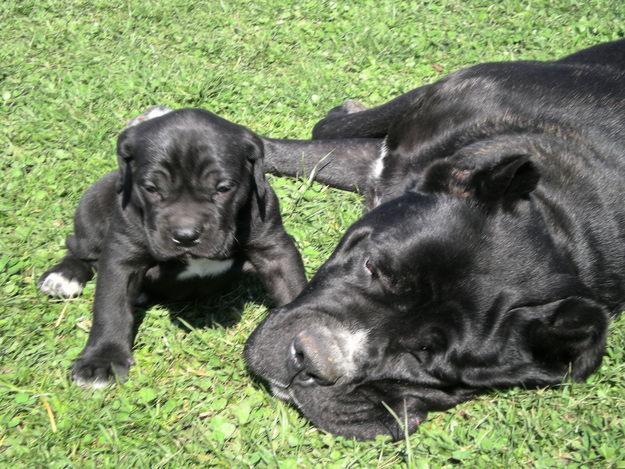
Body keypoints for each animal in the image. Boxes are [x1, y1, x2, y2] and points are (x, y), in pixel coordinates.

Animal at [37, 107, 306, 388]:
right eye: (151, 189)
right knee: (79, 248)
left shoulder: (274, 249)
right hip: (92, 205)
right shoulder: (121, 257)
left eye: (223, 189)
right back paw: (64, 276)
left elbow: (294, 288)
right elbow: (111, 307)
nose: (186, 236)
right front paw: (102, 359)